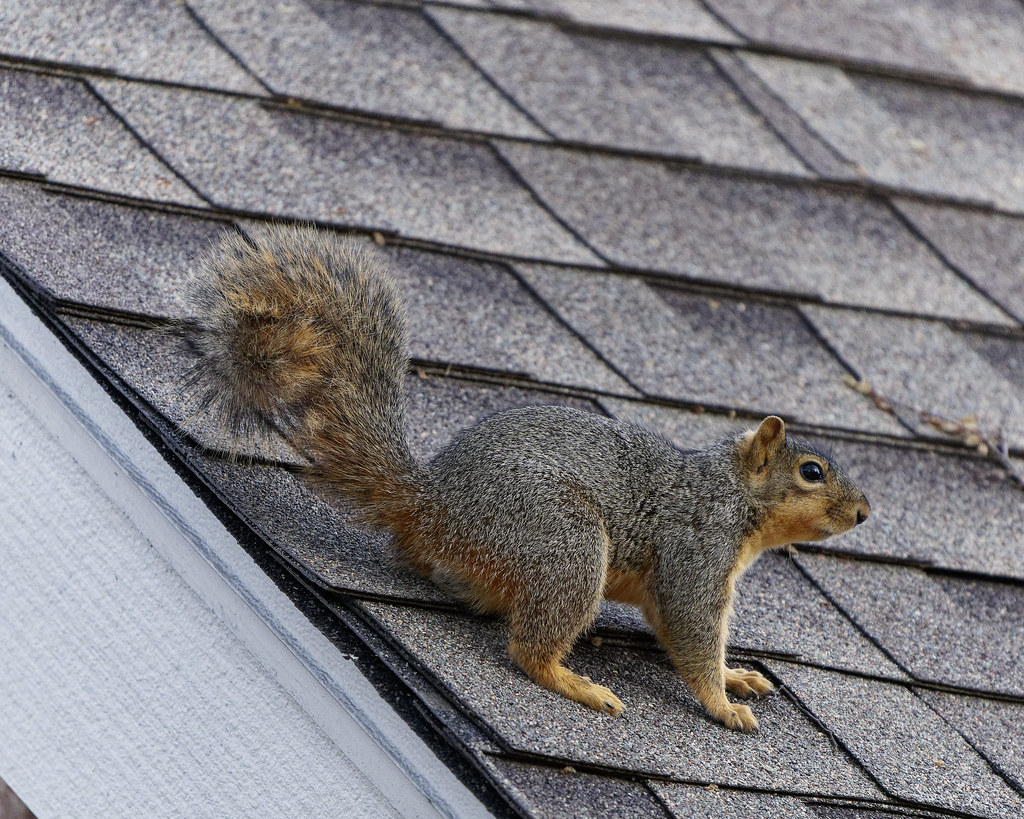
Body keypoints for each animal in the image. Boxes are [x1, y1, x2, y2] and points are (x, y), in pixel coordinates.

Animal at [183, 223, 871, 732]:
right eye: (812, 472)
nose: (864, 512)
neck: (731, 496)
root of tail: (433, 507)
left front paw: (736, 677)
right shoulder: (697, 550)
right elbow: (693, 629)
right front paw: (723, 704)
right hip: (563, 540)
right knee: (526, 650)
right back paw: (577, 683)